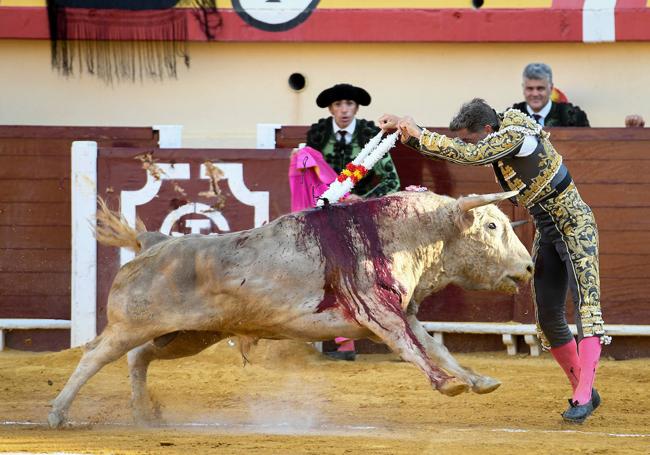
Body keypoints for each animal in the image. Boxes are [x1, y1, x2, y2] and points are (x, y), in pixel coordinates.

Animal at [46, 189, 532, 428]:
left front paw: (478, 380)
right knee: (94, 356)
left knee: (139, 357)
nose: (528, 267)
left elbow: (436, 346)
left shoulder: (403, 311)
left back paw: (145, 413)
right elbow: (412, 349)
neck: (408, 233)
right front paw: (448, 385)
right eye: (492, 225)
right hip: (133, 325)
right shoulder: (380, 313)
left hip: (188, 336)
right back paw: (57, 414)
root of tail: (154, 242)